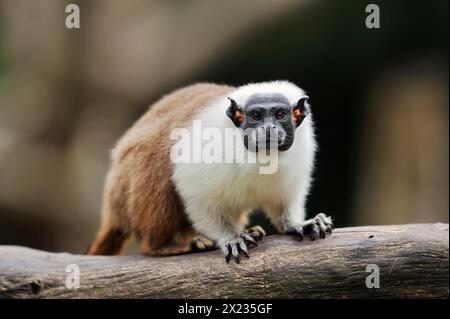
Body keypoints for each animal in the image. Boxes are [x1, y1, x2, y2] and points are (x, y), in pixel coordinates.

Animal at [89, 81, 334, 264]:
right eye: (255, 116)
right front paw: (230, 237)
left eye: (280, 114)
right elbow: (194, 193)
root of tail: (113, 208)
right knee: (156, 165)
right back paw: (163, 245)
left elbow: (285, 200)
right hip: (125, 185)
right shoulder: (208, 146)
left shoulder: (302, 149)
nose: (268, 129)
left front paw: (296, 223)